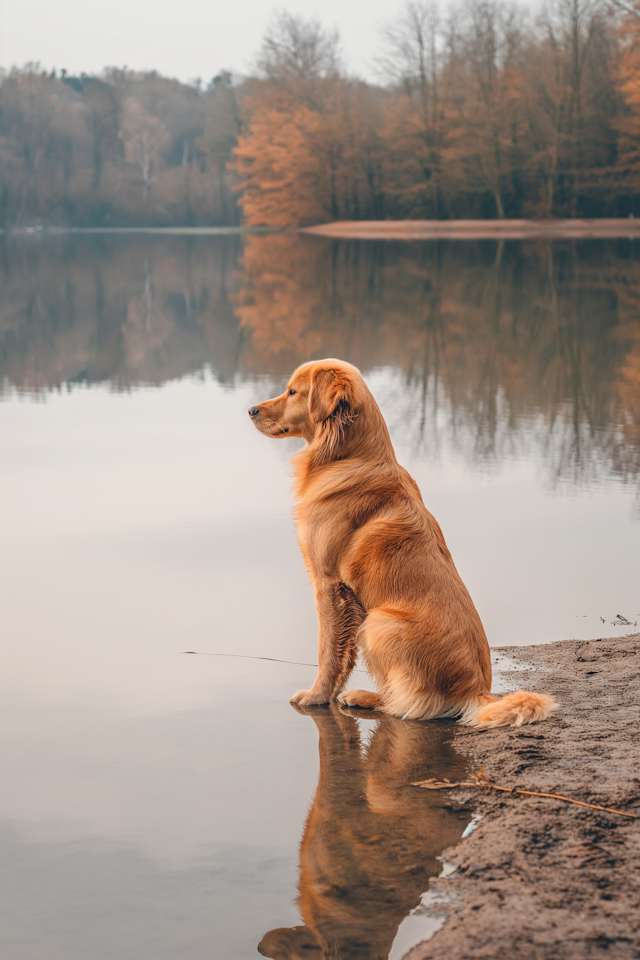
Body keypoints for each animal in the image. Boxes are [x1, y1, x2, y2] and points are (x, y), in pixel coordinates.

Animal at [250, 360, 556, 728]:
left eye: (293, 391)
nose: (250, 410)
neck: (348, 457)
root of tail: (475, 690)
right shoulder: (346, 597)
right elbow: (344, 654)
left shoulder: (328, 585)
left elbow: (328, 651)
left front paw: (316, 696)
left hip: (379, 622)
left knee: (405, 703)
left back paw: (366, 697)